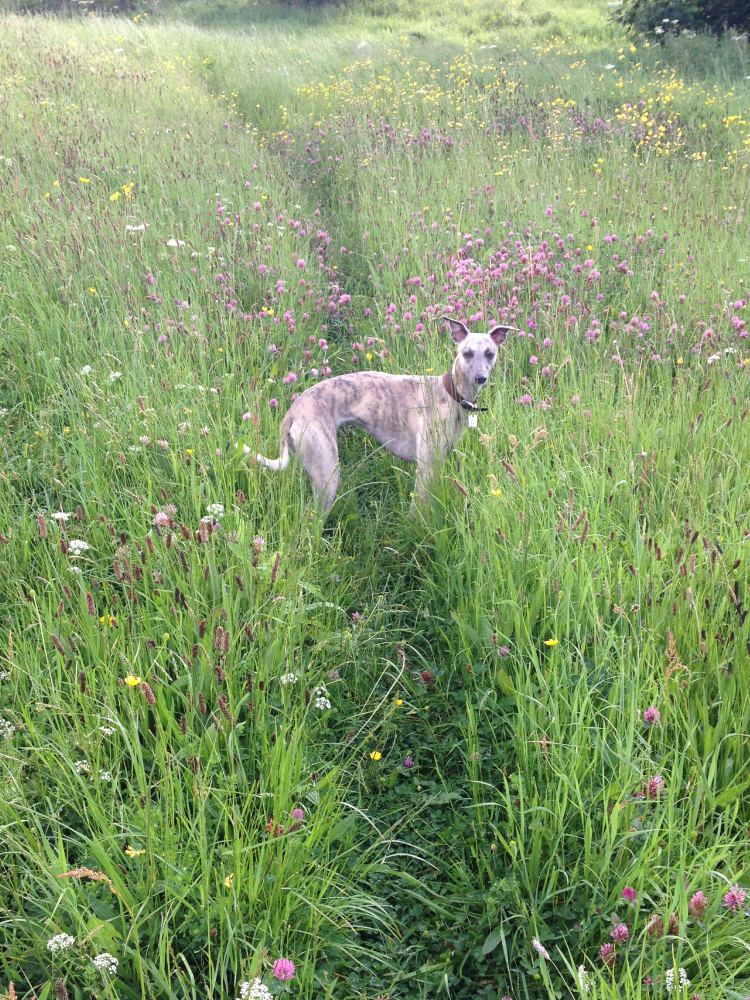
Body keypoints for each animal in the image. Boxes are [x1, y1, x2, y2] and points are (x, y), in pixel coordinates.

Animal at [253, 316, 512, 512]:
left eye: (490, 353)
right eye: (467, 353)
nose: (481, 378)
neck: (450, 394)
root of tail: (293, 410)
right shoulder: (425, 467)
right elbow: (417, 511)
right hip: (327, 474)